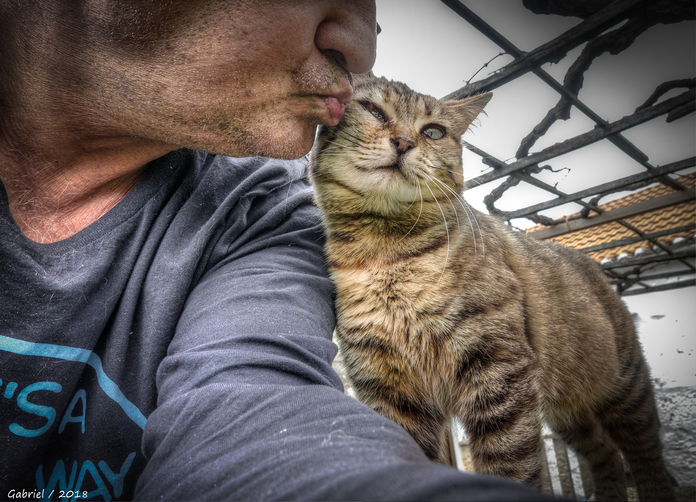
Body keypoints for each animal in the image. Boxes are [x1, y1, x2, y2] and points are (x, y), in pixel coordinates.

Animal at [308, 74, 675, 502]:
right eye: (373, 110)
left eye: (433, 132)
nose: (402, 142)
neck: (385, 253)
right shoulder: (388, 387)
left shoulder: (499, 369)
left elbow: (508, 465)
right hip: (568, 412)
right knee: (605, 456)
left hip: (625, 392)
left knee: (647, 456)